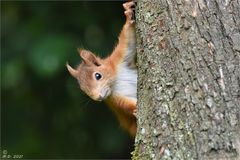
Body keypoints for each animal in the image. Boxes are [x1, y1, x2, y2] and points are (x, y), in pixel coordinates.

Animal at [66, 0, 136, 137]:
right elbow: (128, 105)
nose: (98, 97)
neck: (115, 81)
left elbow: (129, 39)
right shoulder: (116, 100)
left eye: (98, 75)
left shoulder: (120, 58)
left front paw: (128, 12)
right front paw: (136, 108)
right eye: (83, 89)